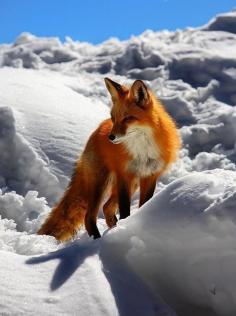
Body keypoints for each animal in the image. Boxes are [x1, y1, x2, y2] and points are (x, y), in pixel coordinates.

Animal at [37, 78, 180, 239]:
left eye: (127, 118)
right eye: (114, 118)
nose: (111, 137)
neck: (142, 149)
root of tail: (96, 131)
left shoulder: (150, 175)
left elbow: (144, 204)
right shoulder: (125, 175)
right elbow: (125, 210)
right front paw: (124, 229)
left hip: (132, 184)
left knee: (106, 208)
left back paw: (111, 228)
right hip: (101, 183)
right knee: (89, 216)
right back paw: (97, 239)